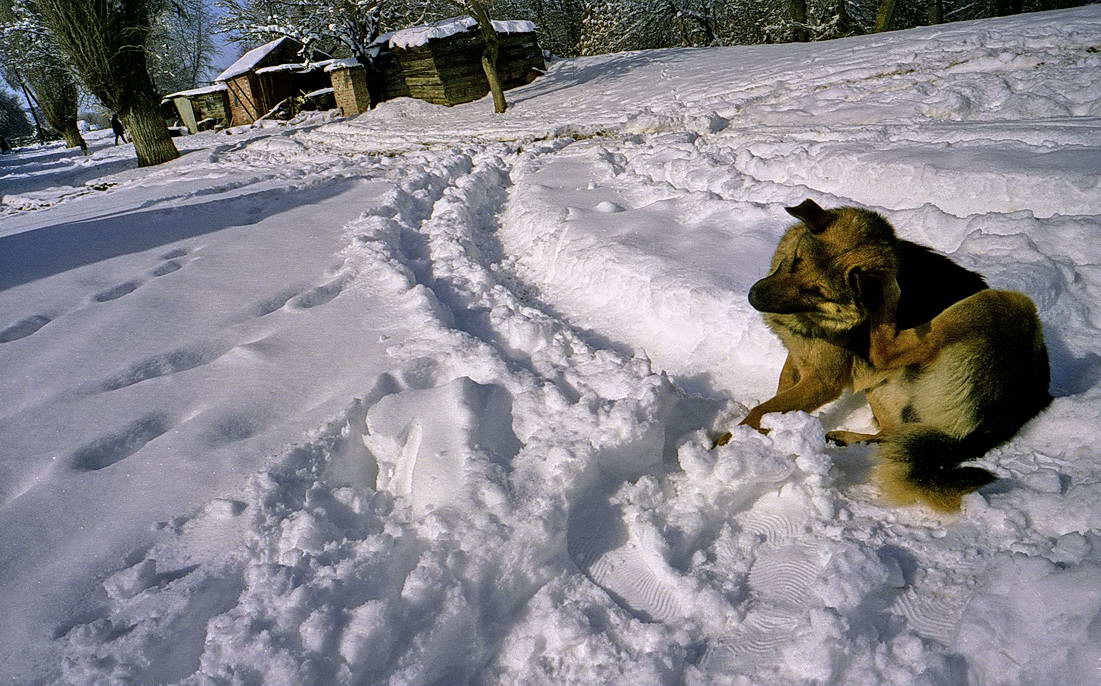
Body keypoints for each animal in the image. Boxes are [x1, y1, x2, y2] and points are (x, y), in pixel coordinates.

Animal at [713, 197, 1048, 510]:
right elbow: (780, 391)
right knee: (889, 432)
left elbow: (760, 410)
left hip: (1004, 302)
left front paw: (729, 443)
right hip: (883, 390)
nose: (753, 297)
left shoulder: (823, 381)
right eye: (795, 260)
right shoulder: (800, 358)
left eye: (816, 291)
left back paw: (884, 293)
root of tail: (1019, 405)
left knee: (886, 348)